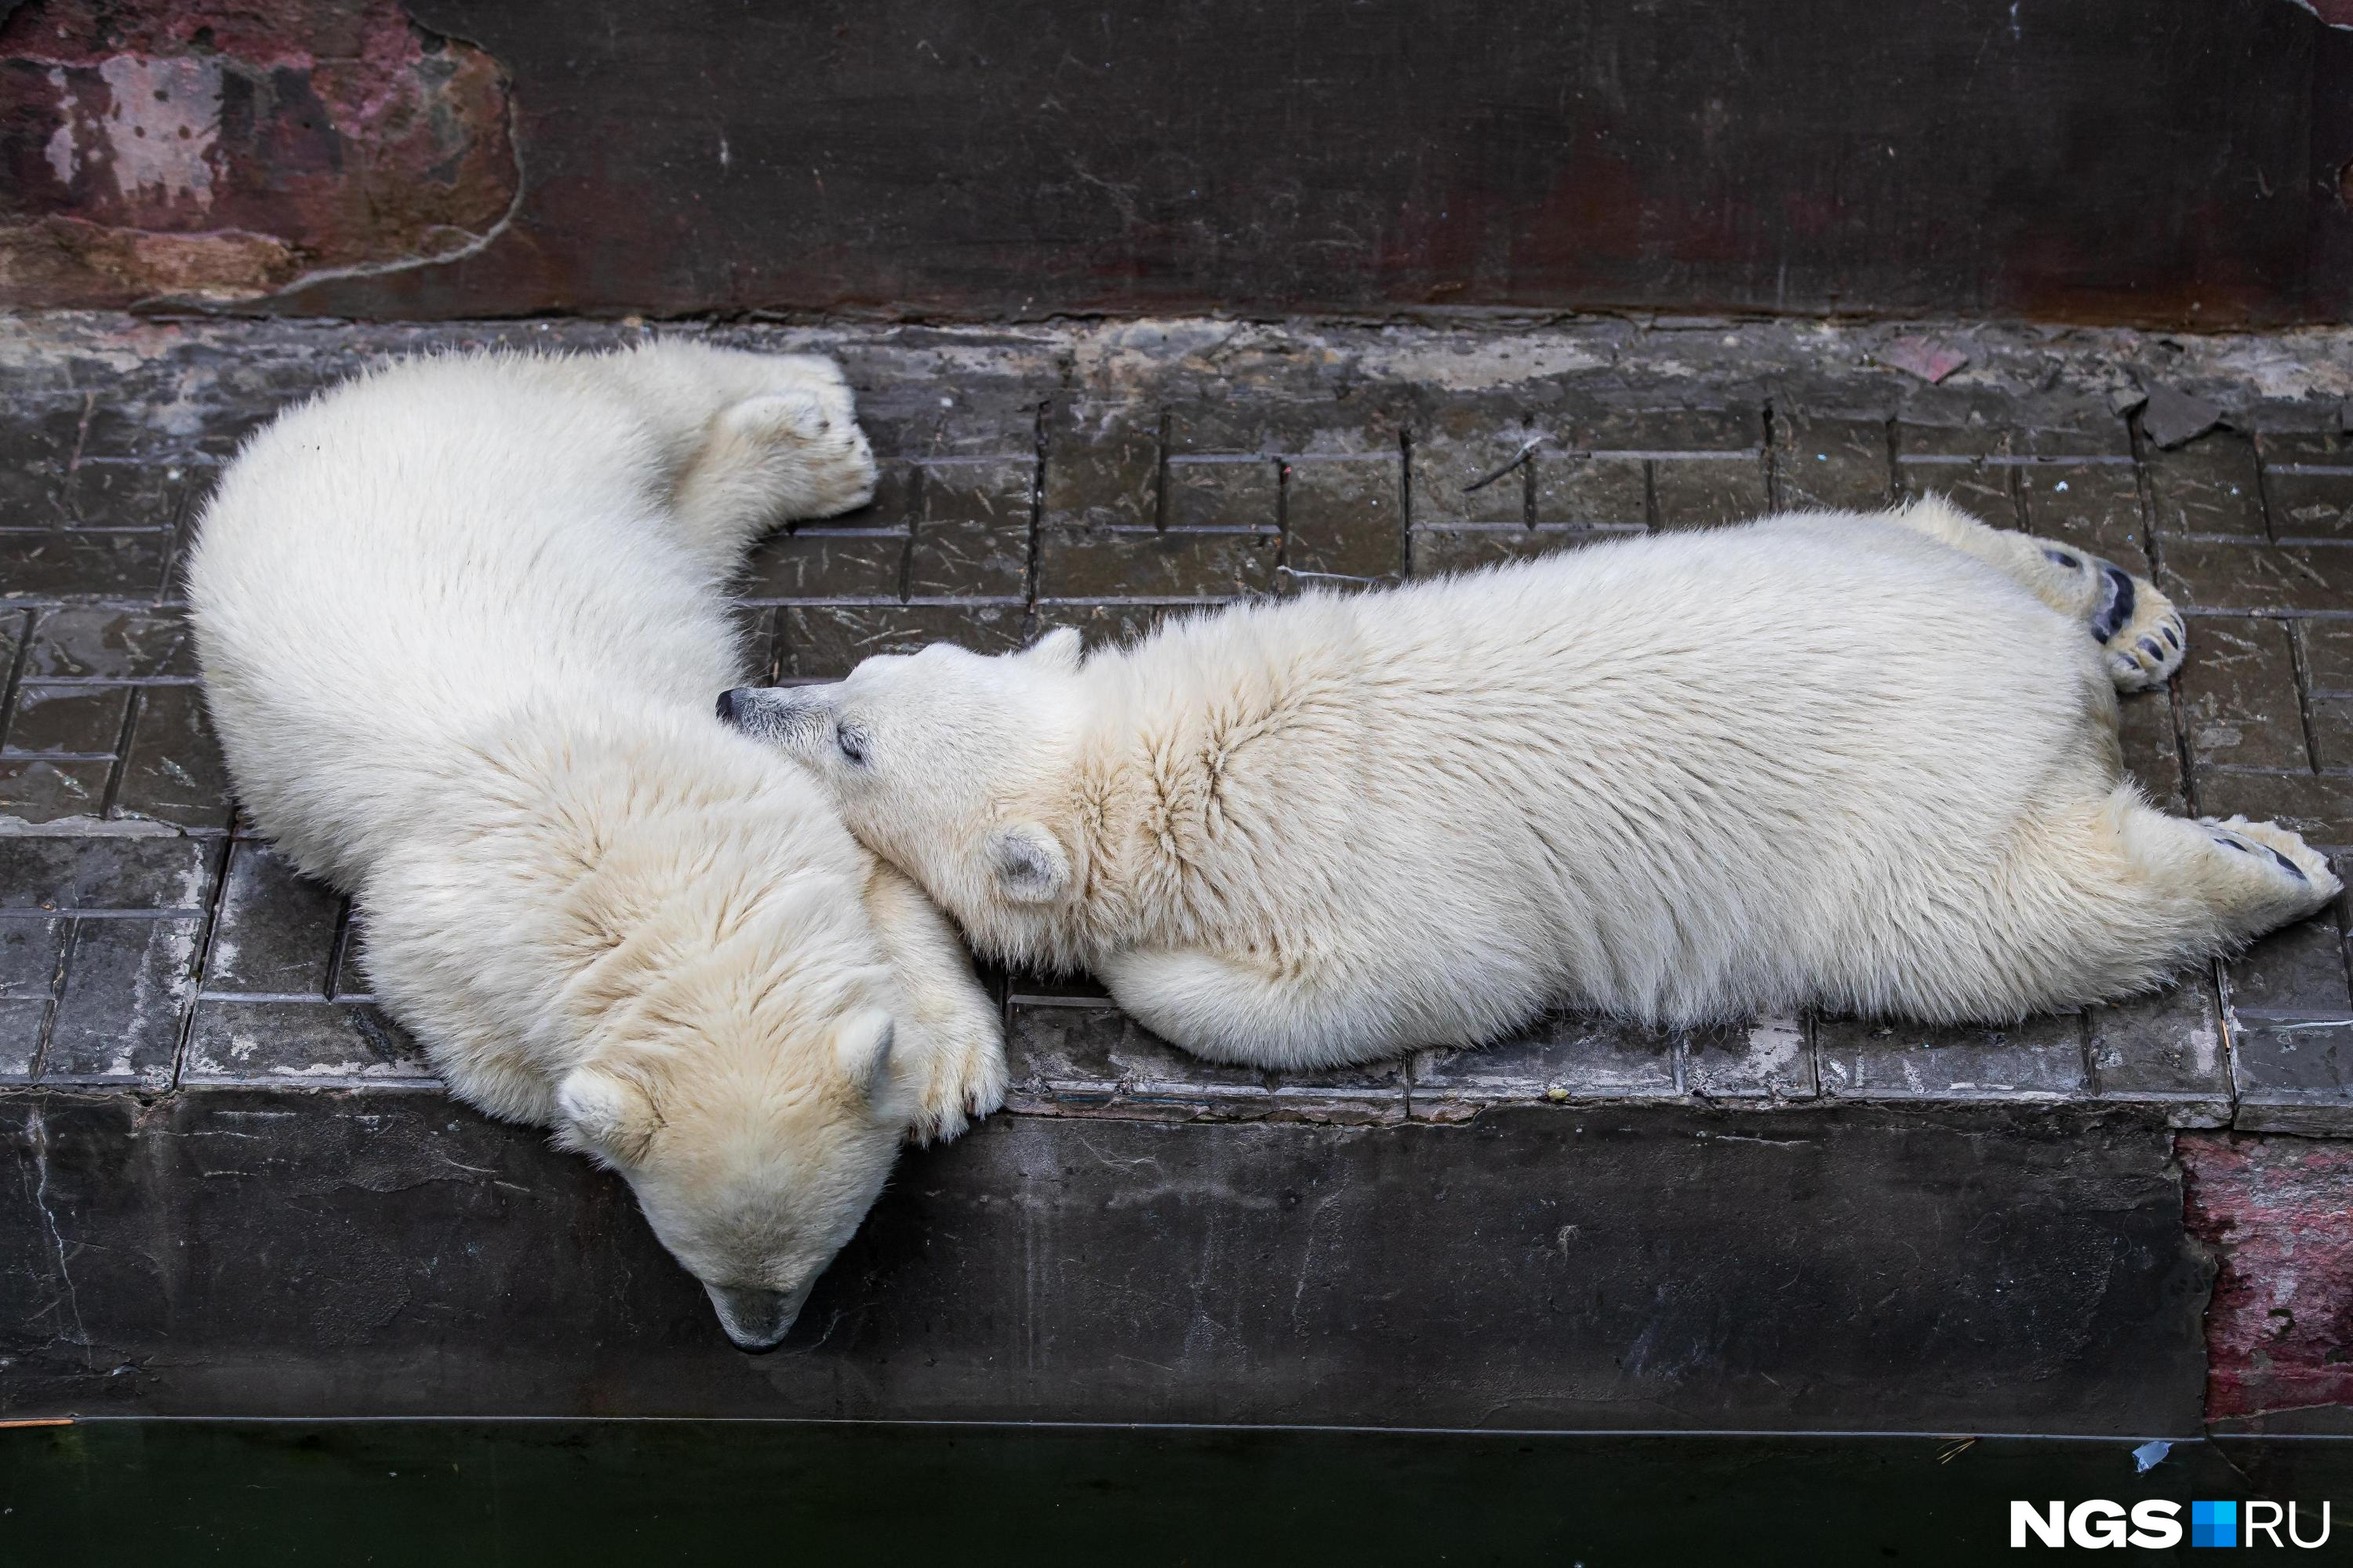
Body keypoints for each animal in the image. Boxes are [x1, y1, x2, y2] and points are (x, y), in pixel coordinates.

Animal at [191, 341, 1002, 1346]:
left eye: (822, 1256)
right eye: (702, 1269)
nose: (758, 1339)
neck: (655, 880)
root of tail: (325, 407)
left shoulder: (768, 796)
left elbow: (880, 879)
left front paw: (947, 1075)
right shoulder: (436, 933)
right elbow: (504, 1069)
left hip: (528, 436)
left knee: (644, 395)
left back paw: (815, 412)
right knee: (677, 513)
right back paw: (812, 453)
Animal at [715, 501, 2334, 1073]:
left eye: (850, 741)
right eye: (865, 670)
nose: (737, 699)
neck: (1187, 741)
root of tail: (2035, 676)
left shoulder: (1377, 872)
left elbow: (1430, 981)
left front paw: (1135, 962)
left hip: (1907, 811)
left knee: (1993, 924)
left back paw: (2272, 858)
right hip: (1823, 539)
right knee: (1905, 512)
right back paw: (2114, 601)